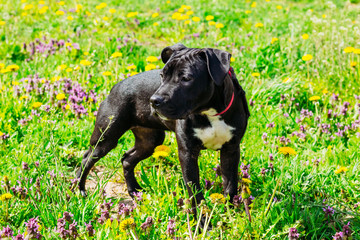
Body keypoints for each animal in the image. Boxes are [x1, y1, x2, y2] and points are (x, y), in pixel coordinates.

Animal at [77, 42, 249, 218]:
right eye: (162, 75)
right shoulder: (187, 152)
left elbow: (230, 185)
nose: (154, 100)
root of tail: (115, 87)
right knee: (87, 158)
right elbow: (194, 191)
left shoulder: (231, 150)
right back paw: (80, 190)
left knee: (127, 159)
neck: (209, 112)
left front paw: (232, 213)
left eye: (186, 78)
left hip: (150, 141)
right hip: (105, 138)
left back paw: (135, 191)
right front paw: (200, 220)